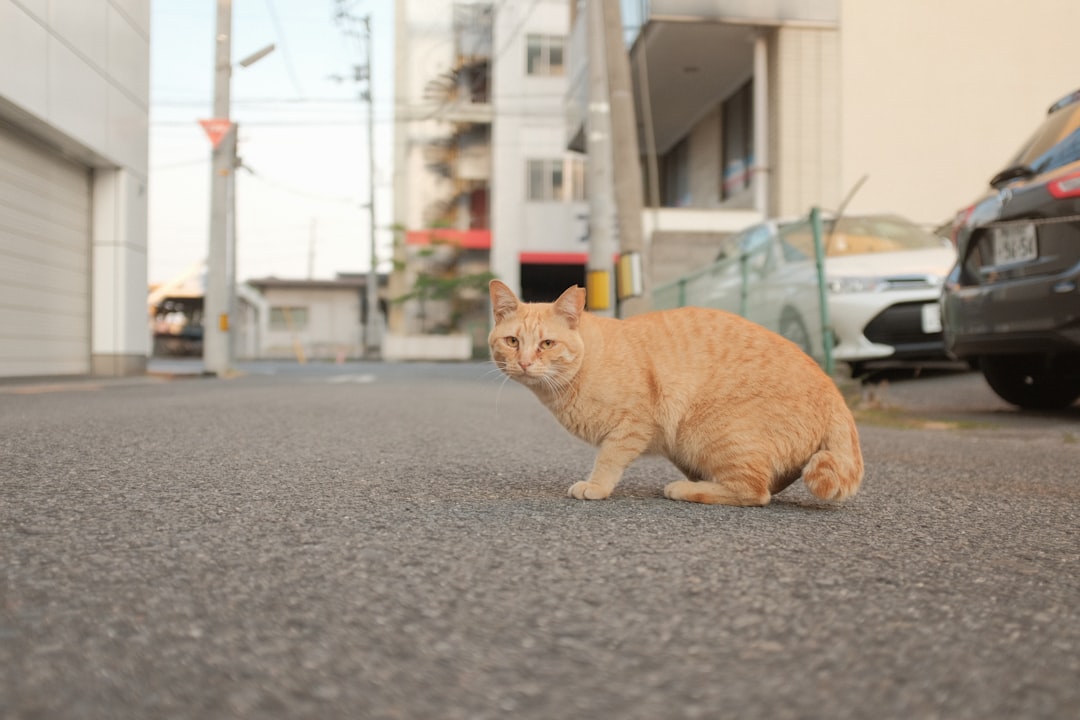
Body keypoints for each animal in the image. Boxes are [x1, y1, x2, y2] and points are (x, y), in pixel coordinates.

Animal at [488, 280, 859, 507]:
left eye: (547, 344)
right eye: (512, 341)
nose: (524, 362)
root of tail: (835, 393)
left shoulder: (634, 424)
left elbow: (608, 459)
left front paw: (595, 486)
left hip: (707, 429)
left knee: (755, 491)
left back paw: (684, 489)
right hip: (685, 447)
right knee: (769, 483)